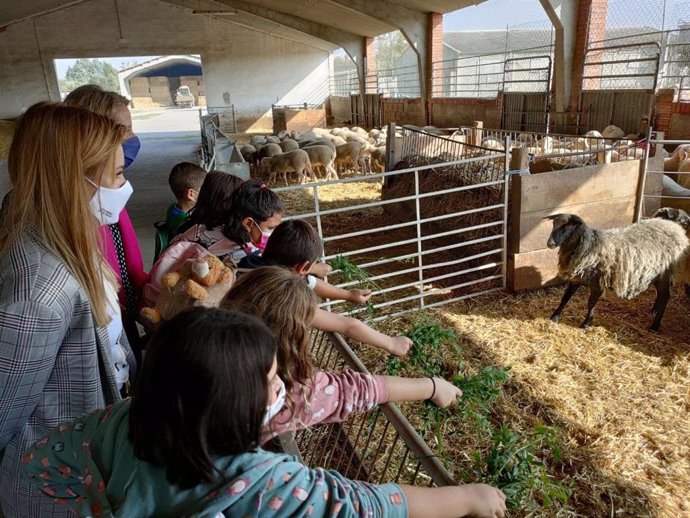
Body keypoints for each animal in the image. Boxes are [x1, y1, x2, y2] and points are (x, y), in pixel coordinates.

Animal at [544, 214, 684, 334]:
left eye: (565, 227)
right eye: (554, 224)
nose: (549, 243)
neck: (588, 246)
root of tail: (674, 227)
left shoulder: (598, 284)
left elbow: (591, 304)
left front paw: (586, 324)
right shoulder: (575, 280)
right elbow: (565, 299)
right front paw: (554, 317)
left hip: (664, 275)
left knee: (665, 296)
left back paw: (655, 326)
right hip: (655, 274)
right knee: (660, 294)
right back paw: (654, 310)